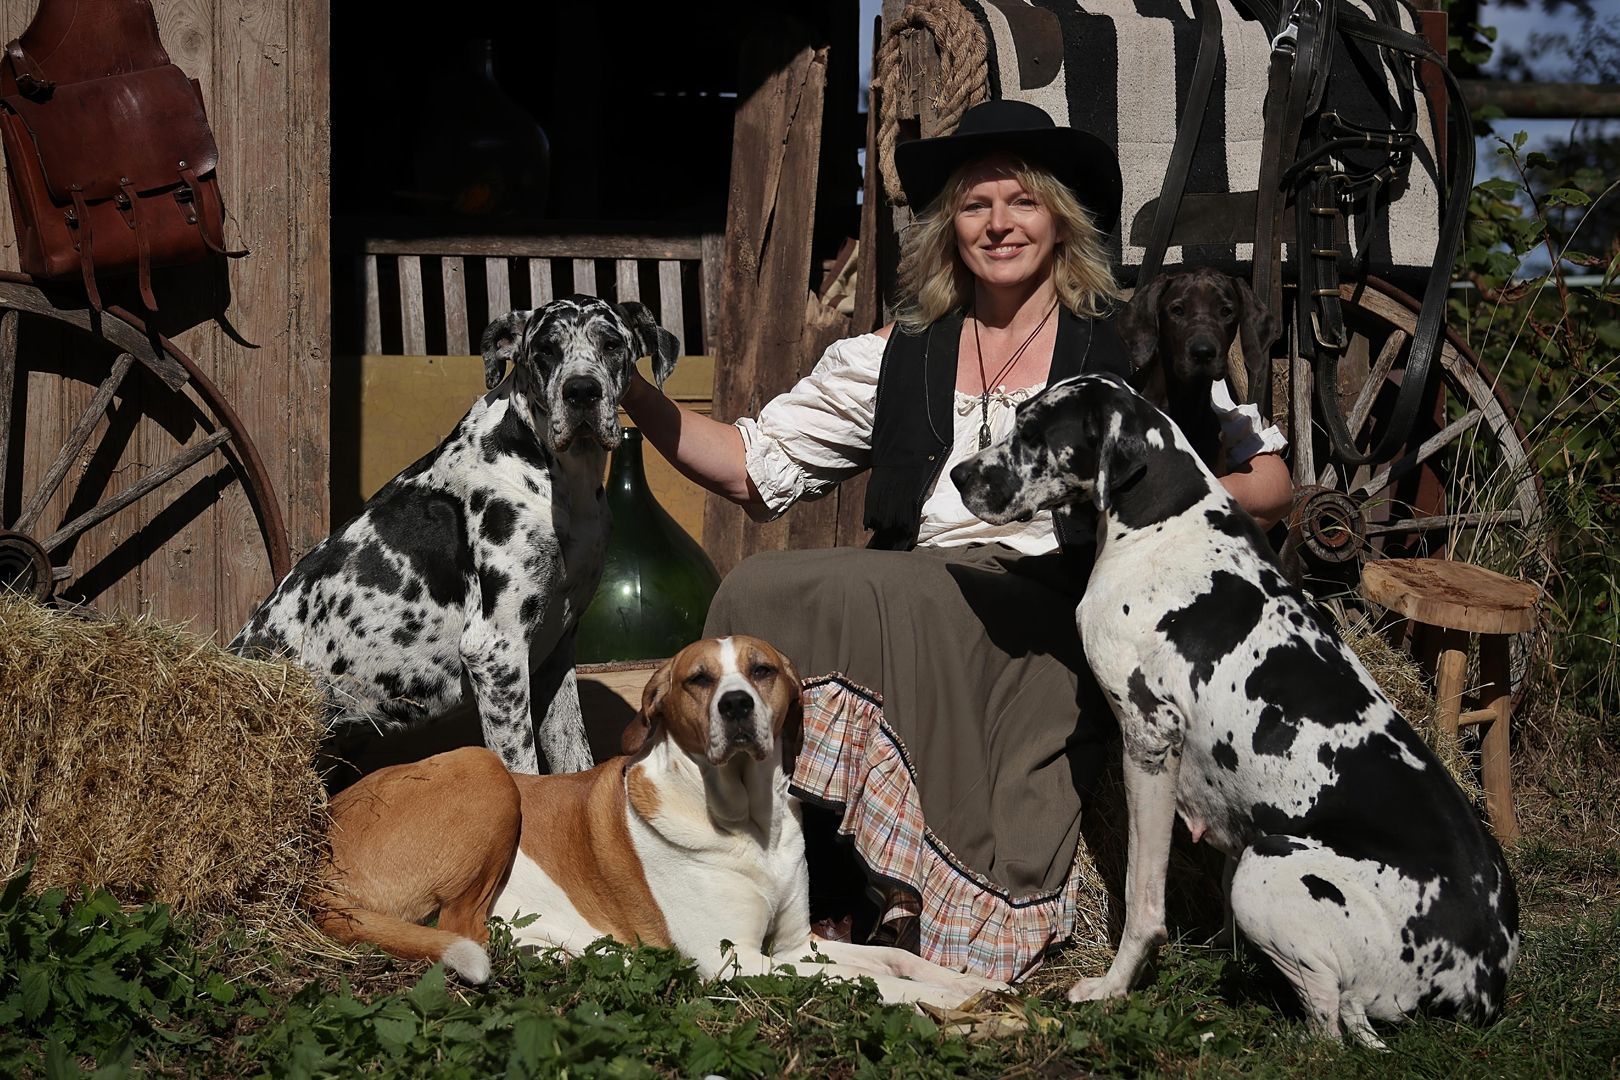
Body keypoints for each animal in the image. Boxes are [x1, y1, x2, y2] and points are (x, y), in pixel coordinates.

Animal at [233, 296, 679, 775]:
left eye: (611, 344)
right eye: (546, 350)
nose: (581, 392)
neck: (560, 480)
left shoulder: (555, 652)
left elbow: (574, 763)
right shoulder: (496, 652)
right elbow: (522, 773)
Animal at [310, 635, 1009, 1008]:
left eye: (762, 671)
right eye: (698, 679)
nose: (736, 705)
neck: (747, 824)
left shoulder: (793, 946)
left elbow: (895, 960)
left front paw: (968, 981)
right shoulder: (735, 961)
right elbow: (867, 984)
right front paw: (950, 1002)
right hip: (484, 770)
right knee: (464, 930)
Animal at [951, 373, 1518, 1047]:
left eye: (1036, 434)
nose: (958, 475)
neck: (1162, 520)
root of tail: (1485, 983)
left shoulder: (1149, 742)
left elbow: (1143, 899)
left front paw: (1114, 987)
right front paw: (1216, 954)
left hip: (1269, 869)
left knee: (1333, 1026)